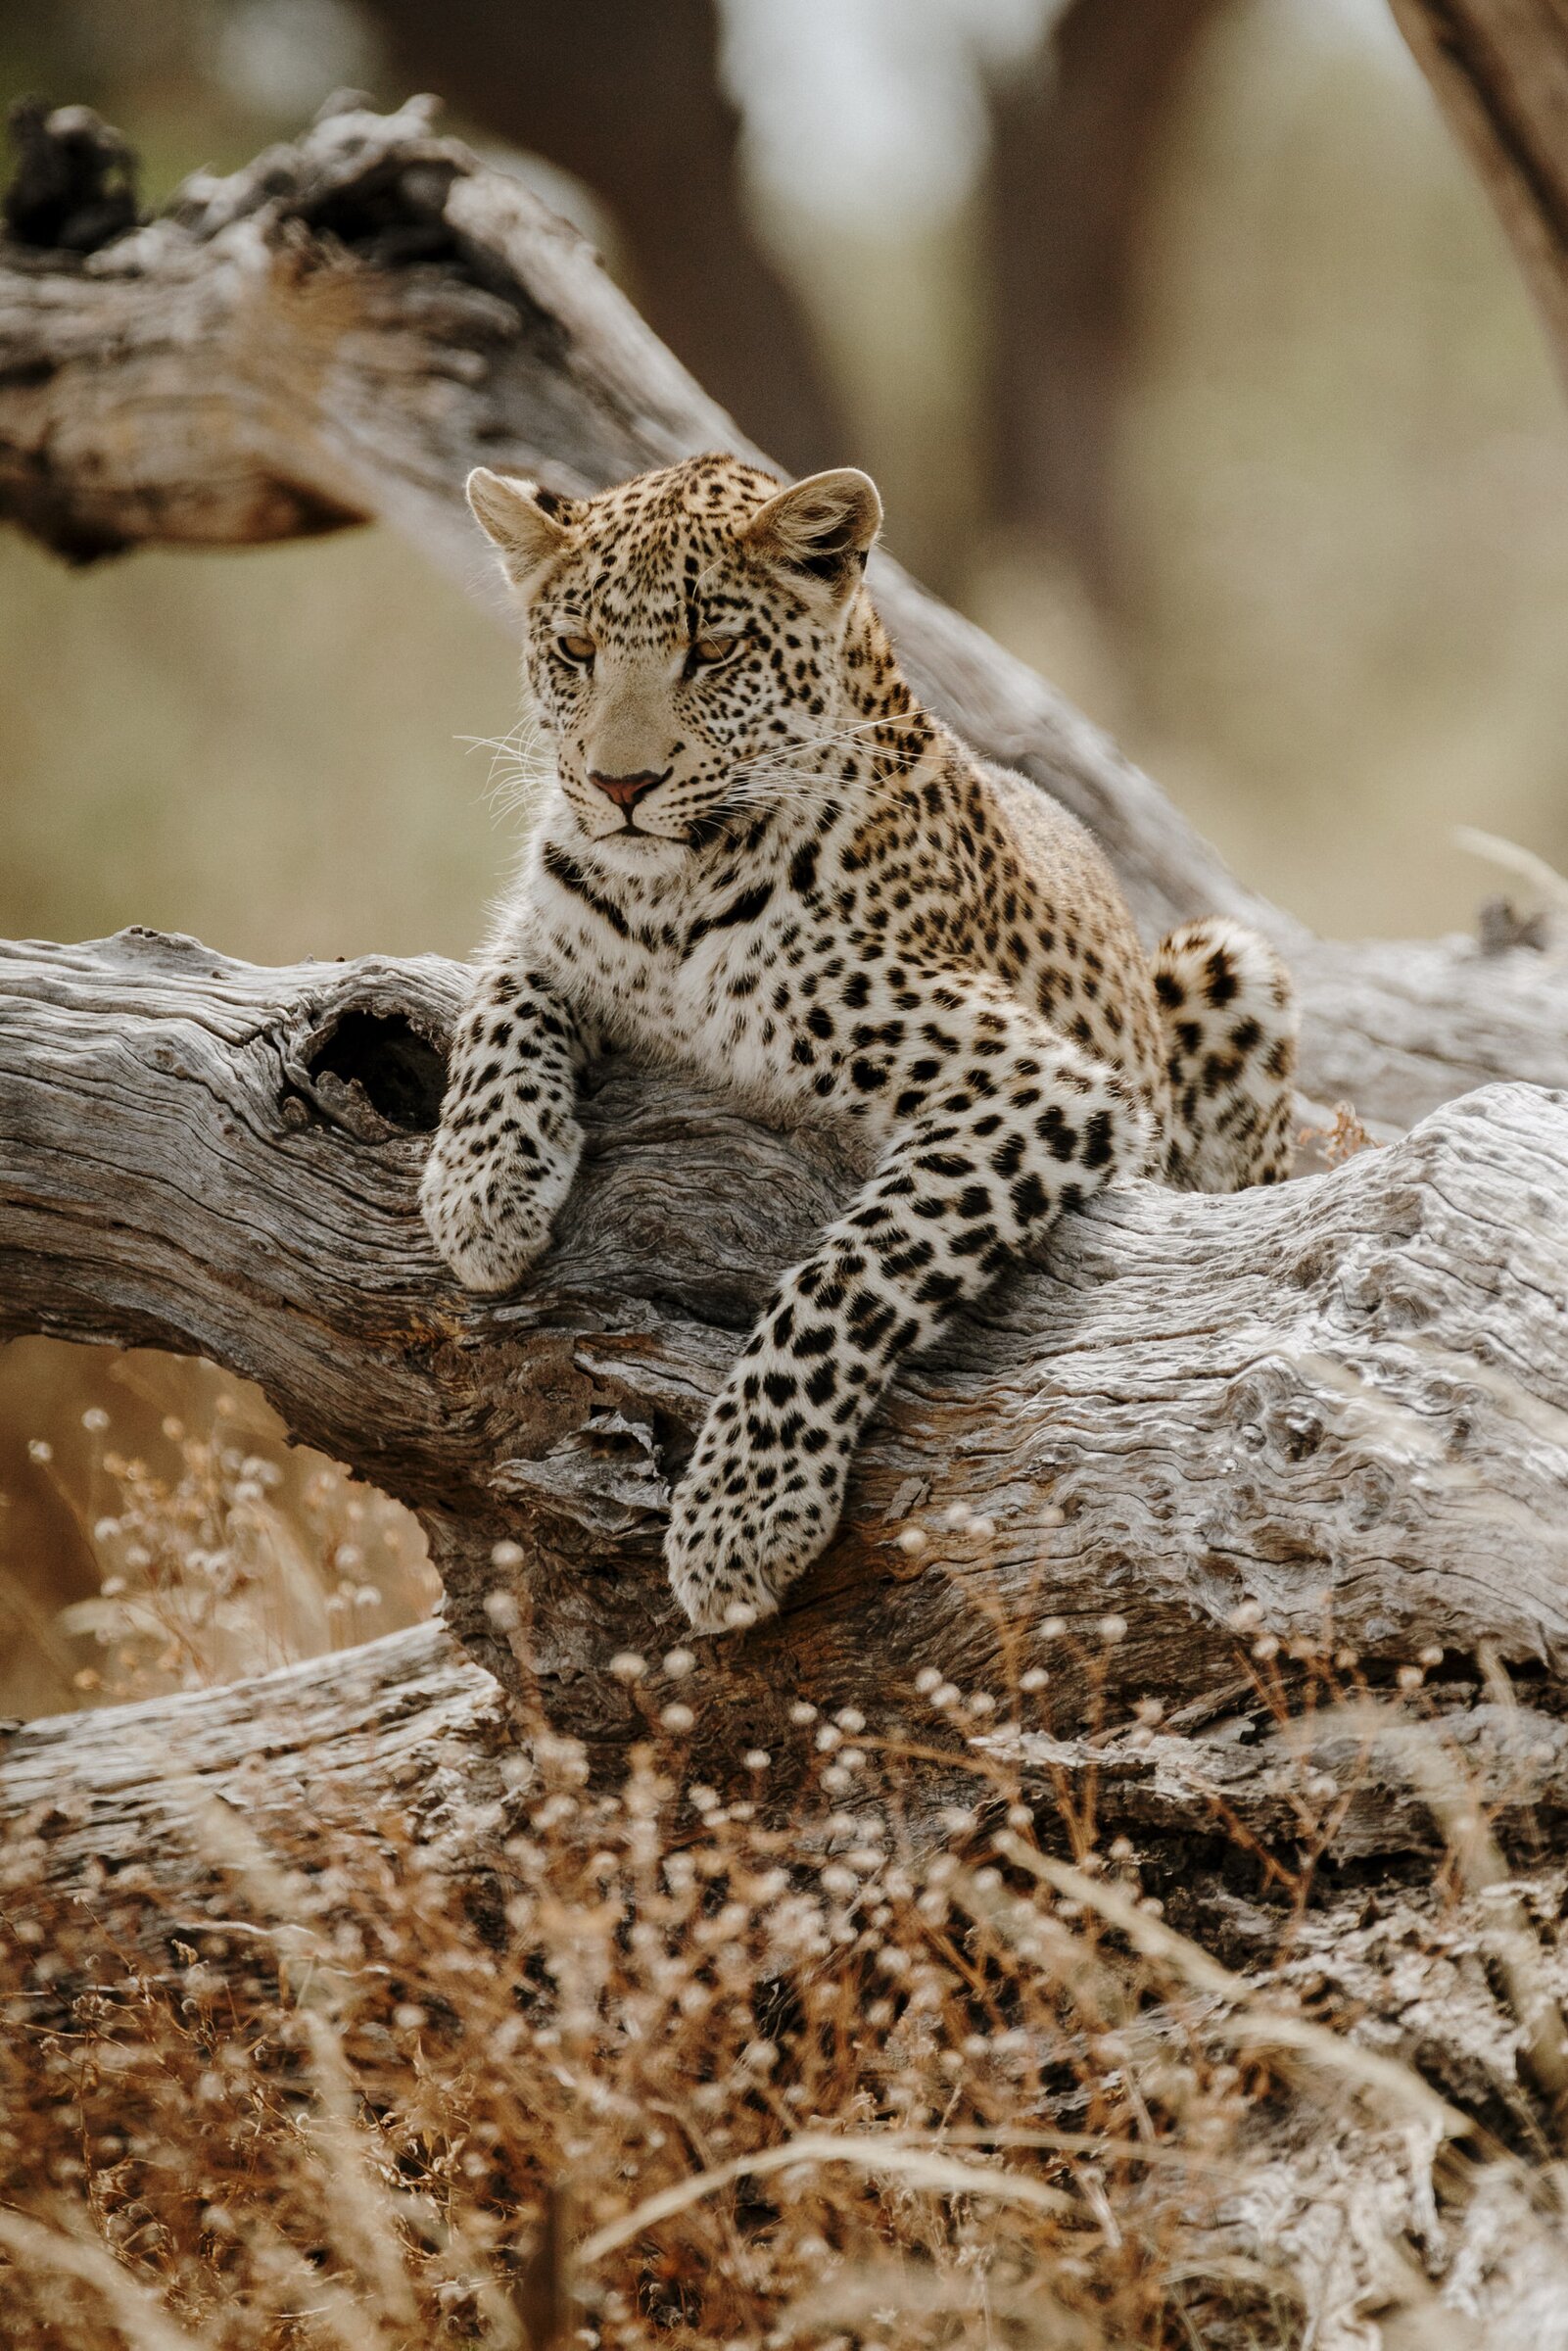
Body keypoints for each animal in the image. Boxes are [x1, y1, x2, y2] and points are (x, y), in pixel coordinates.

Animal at [421, 452, 1298, 1634]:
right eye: (575, 652)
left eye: (711, 651)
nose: (618, 786)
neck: (667, 899)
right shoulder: (547, 932)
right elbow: (499, 1001)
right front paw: (481, 1190)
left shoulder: (1033, 1085)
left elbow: (843, 1276)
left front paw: (739, 1516)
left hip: (1224, 962)